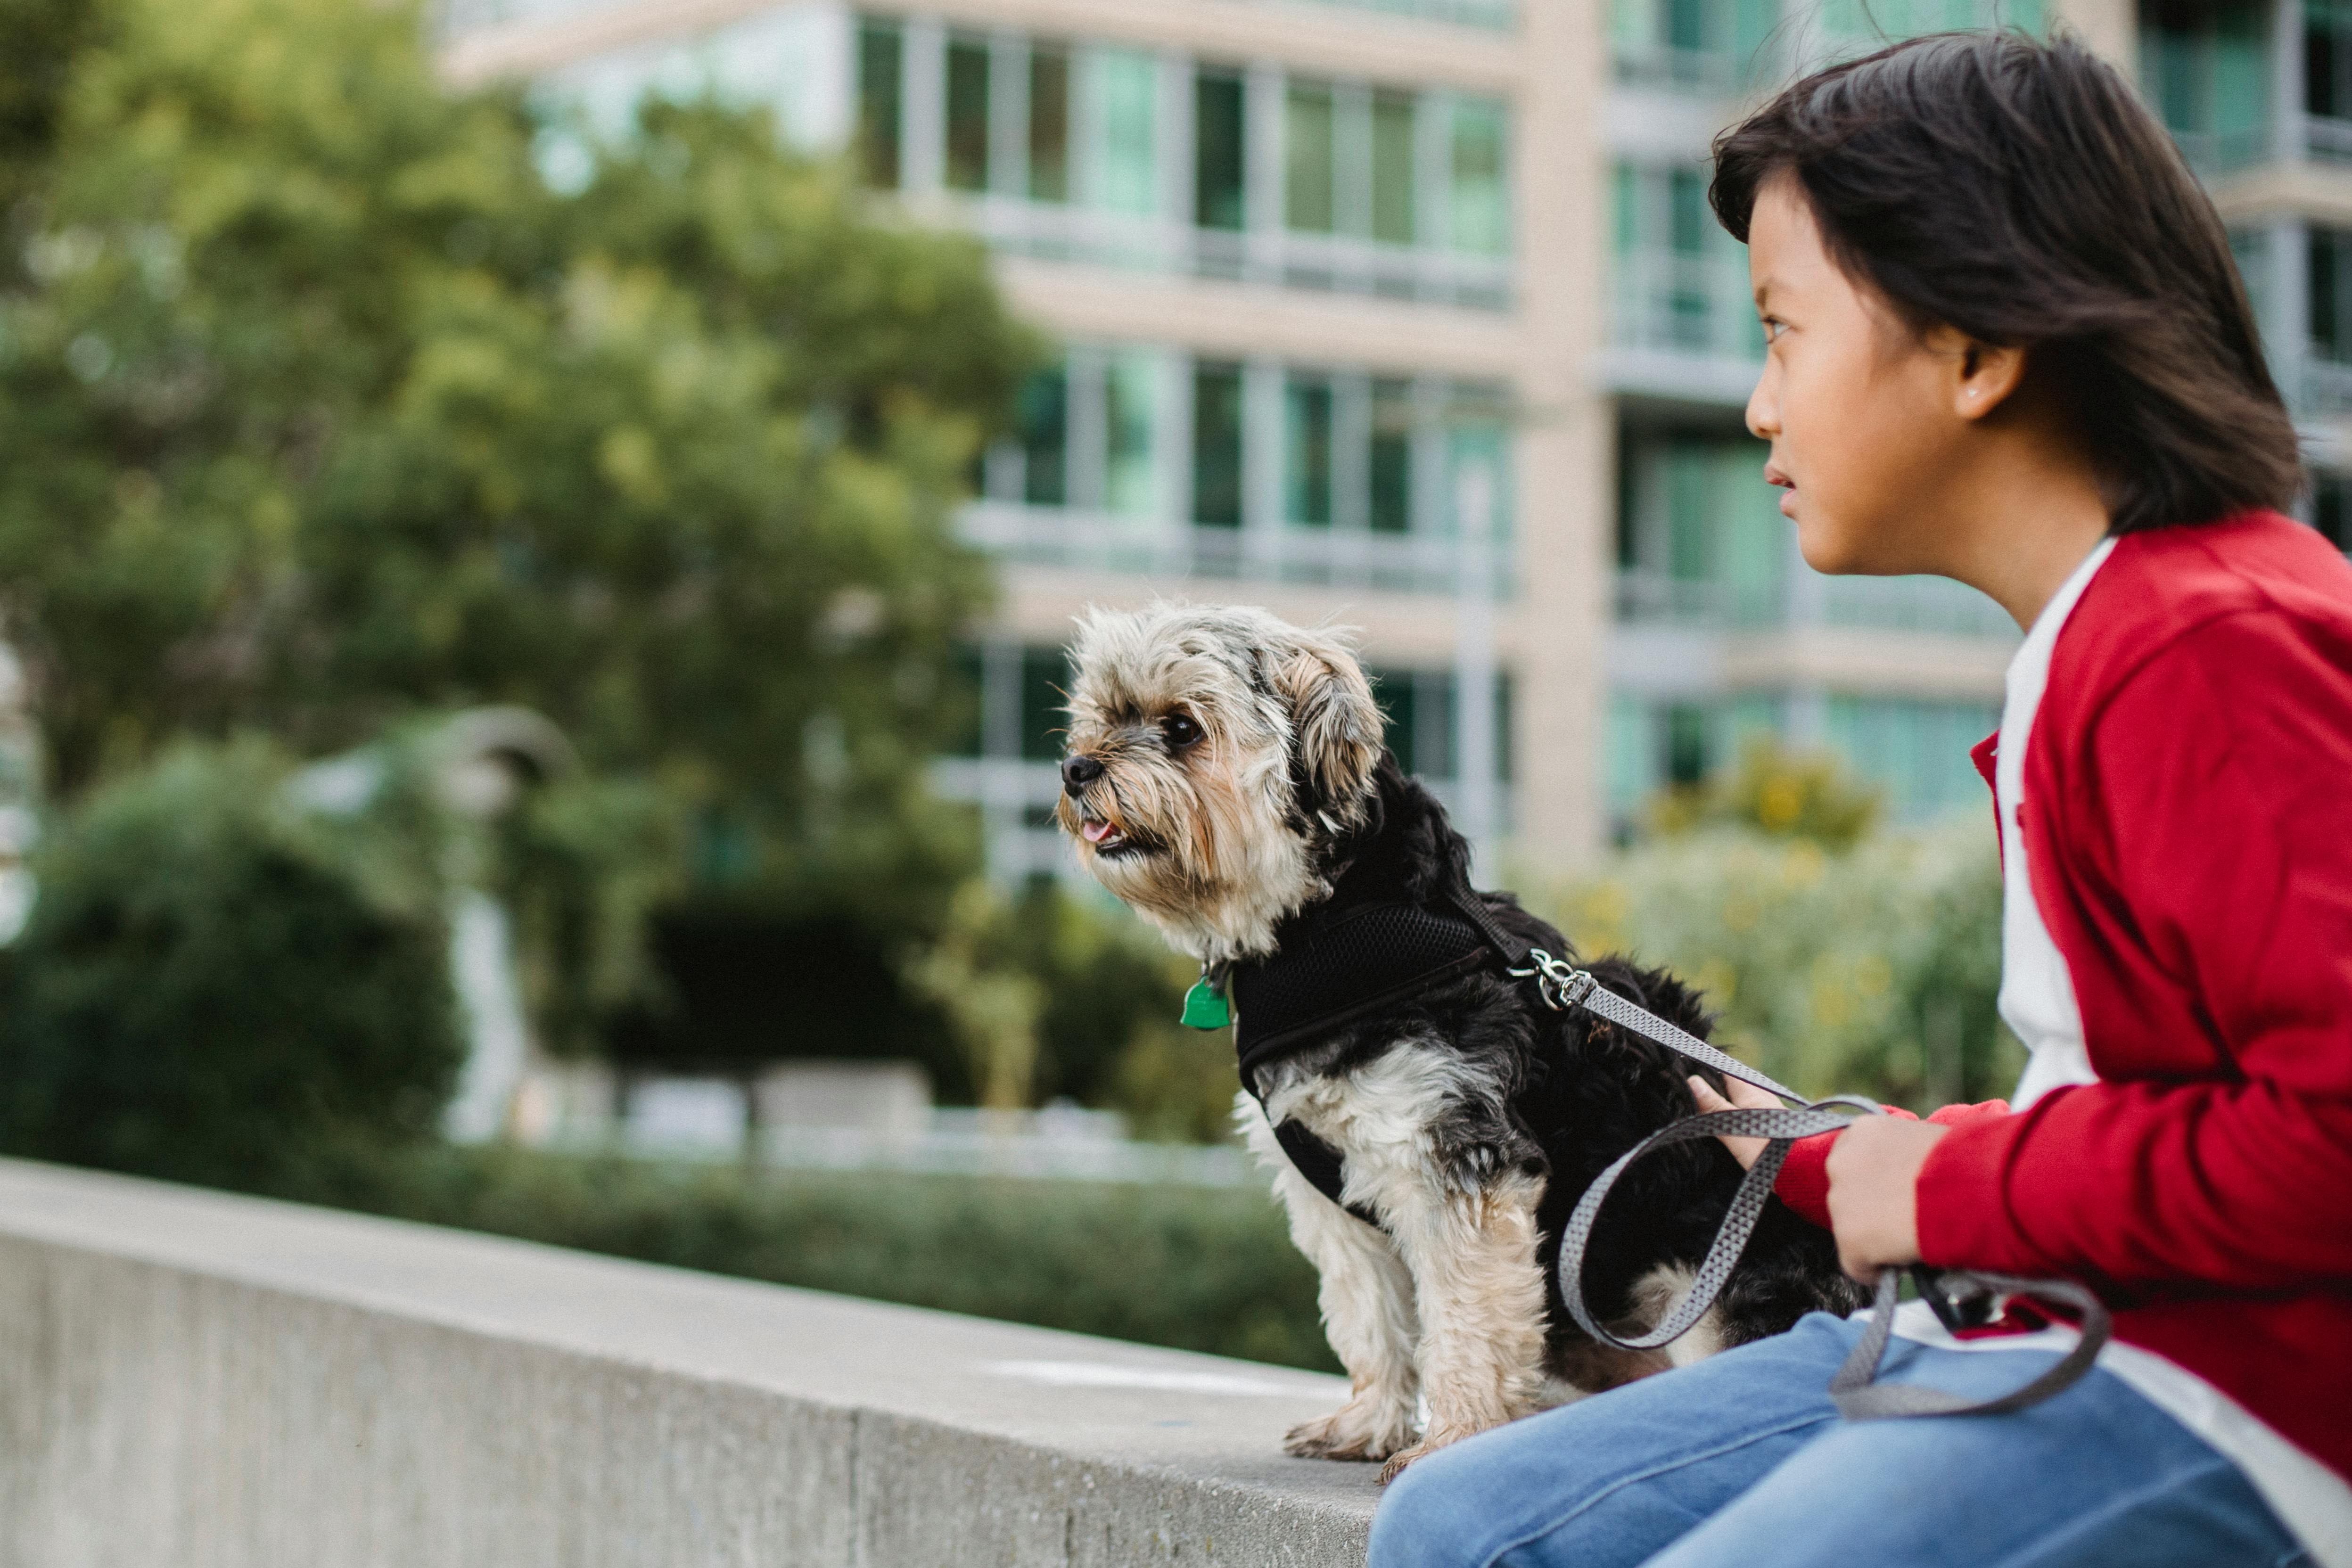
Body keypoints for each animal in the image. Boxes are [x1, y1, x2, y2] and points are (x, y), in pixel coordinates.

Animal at [1063, 601, 1853, 1476]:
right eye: (1100, 716)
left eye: (1181, 727)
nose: (1074, 768)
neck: (1332, 928)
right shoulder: (1338, 1200)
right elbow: (1371, 1318)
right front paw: (1369, 1421)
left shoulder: (1461, 1163)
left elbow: (1468, 1317)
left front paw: (1456, 1437)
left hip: (1705, 1291)